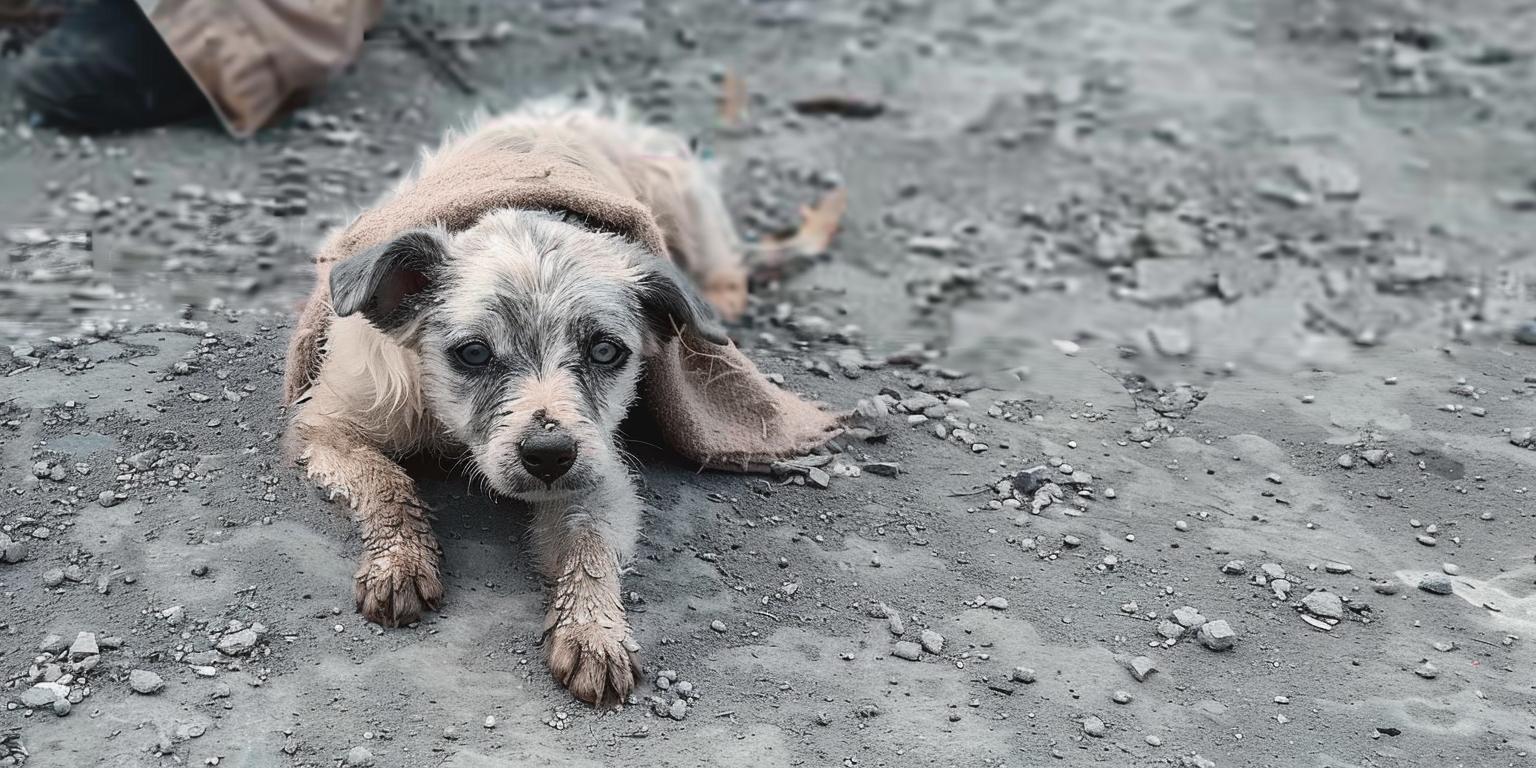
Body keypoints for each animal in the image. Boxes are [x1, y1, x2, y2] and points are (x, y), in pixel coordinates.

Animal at [288, 97, 841, 706]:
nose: (548, 455)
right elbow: (385, 479)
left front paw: (593, 630)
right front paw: (400, 559)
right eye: (473, 353)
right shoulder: (326, 426)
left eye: (605, 350)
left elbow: (588, 544)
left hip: (683, 197)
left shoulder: (599, 472)